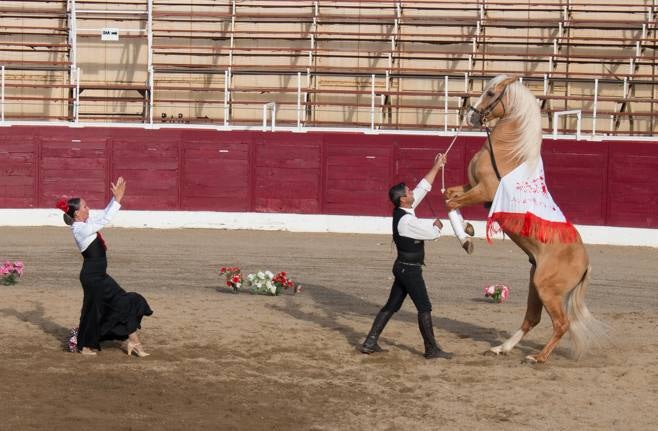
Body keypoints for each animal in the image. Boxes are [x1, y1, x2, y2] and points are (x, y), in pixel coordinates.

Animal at [444, 75, 604, 364]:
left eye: (491, 93)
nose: (471, 116)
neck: (509, 154)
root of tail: (585, 263)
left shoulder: (484, 191)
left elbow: (450, 201)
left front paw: (466, 239)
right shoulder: (471, 187)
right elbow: (448, 196)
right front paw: (469, 229)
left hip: (546, 289)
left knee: (561, 324)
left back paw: (537, 357)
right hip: (534, 284)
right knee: (532, 318)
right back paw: (501, 348)